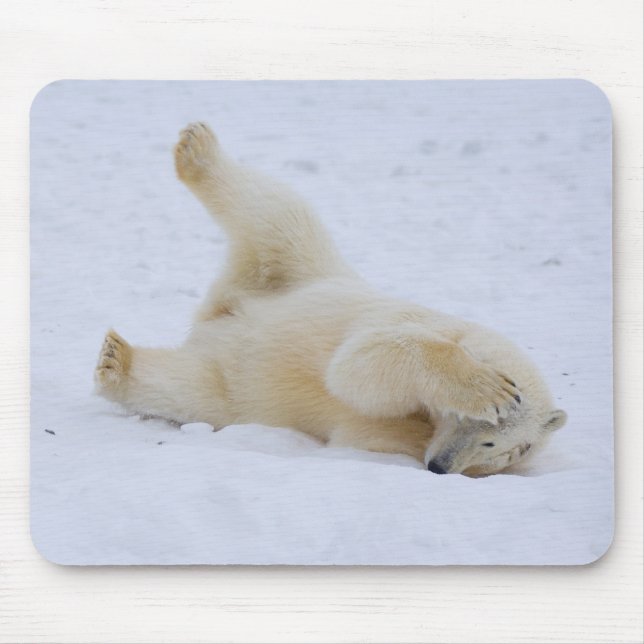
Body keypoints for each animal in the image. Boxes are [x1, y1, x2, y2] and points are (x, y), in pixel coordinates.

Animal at [95, 122, 567, 476]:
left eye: (499, 446)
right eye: (480, 423)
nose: (440, 467)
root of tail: (221, 310)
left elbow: (365, 427)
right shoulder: (419, 321)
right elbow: (361, 362)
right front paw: (489, 387)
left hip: (233, 386)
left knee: (188, 389)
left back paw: (118, 362)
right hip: (304, 269)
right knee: (278, 214)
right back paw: (198, 150)